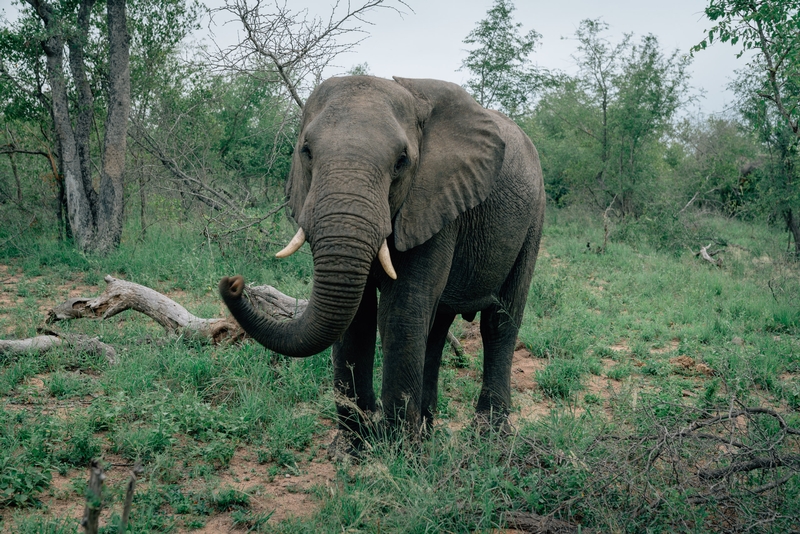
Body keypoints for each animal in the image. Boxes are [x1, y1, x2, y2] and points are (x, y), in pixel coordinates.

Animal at [219, 75, 544, 452]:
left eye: (402, 161)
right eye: (307, 152)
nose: (233, 283)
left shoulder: (432, 201)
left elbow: (400, 312)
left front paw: (397, 449)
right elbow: (357, 319)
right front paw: (355, 449)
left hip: (534, 218)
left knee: (500, 321)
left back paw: (489, 438)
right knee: (437, 326)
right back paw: (427, 432)